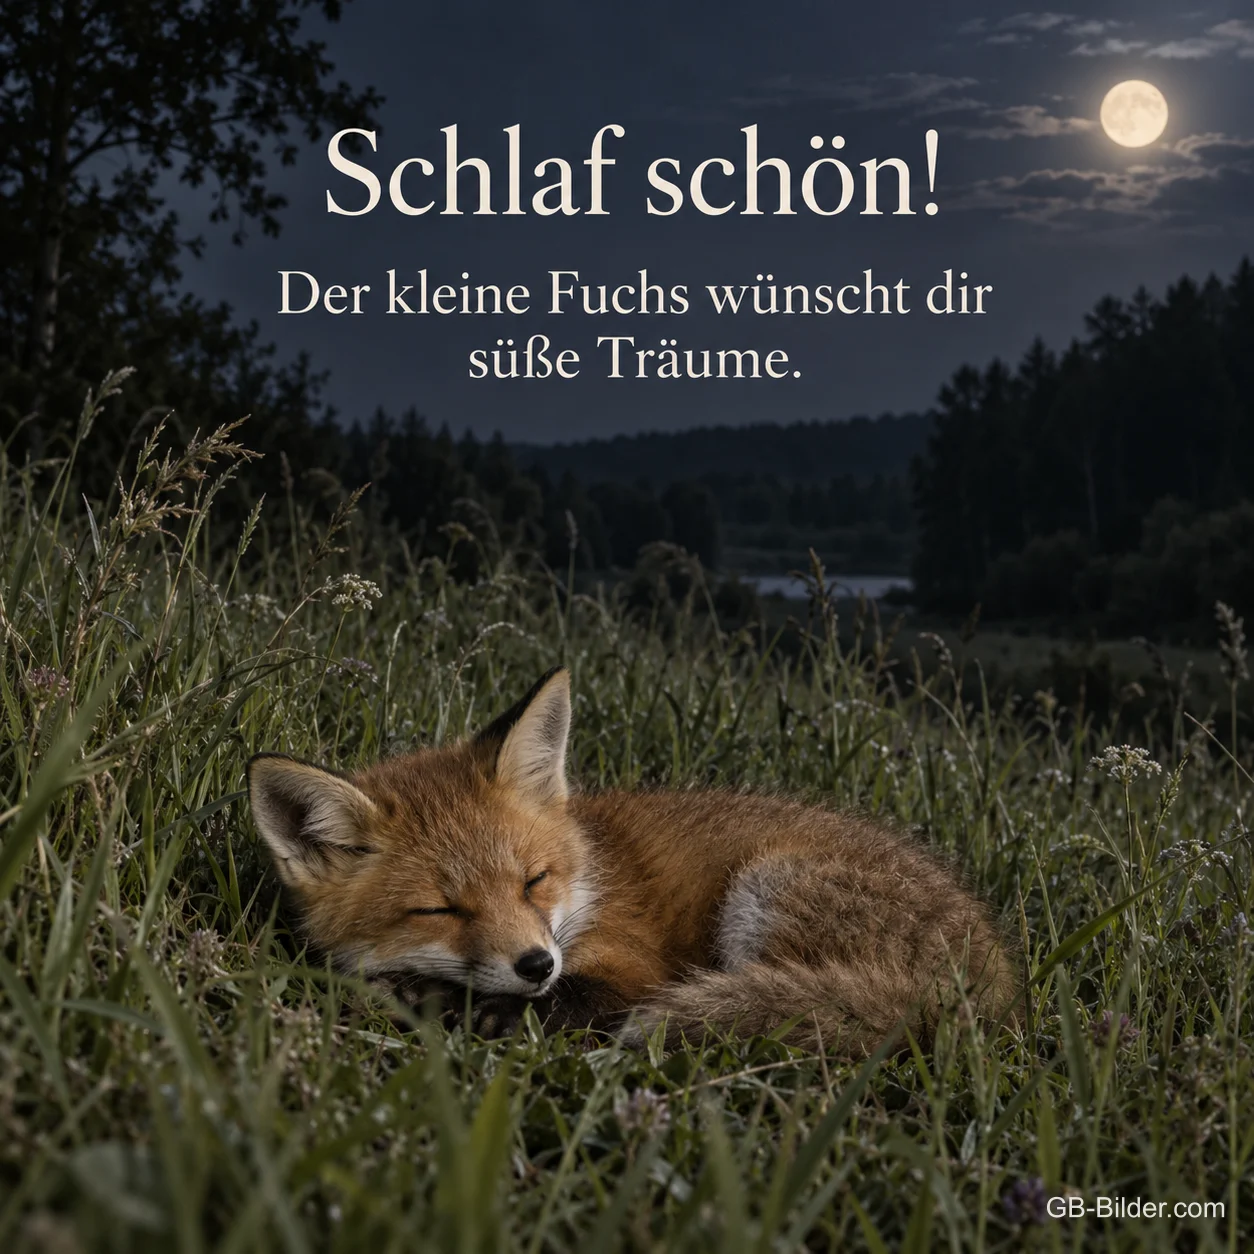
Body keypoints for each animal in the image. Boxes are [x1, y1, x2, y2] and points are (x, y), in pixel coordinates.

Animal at [247, 666, 1019, 1053]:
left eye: (533, 881)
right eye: (440, 909)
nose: (536, 964)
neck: (588, 884)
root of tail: (995, 986)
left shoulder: (631, 966)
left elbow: (575, 1000)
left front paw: (469, 1008)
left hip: (768, 888)